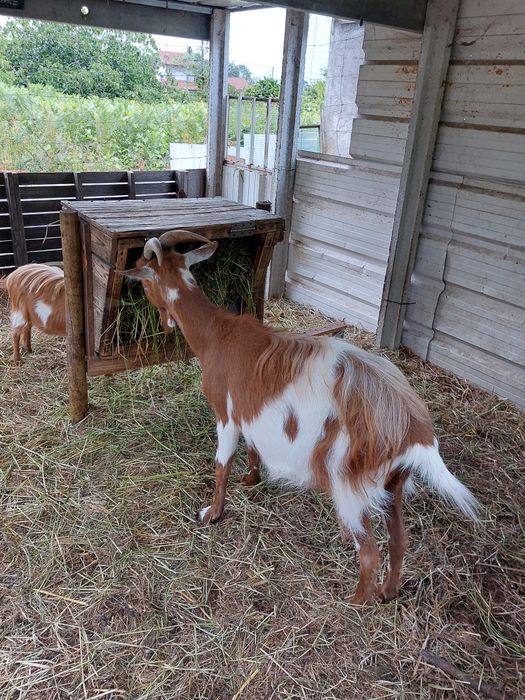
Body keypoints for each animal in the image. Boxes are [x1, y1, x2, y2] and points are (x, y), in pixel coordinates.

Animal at [124, 230, 479, 604]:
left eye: (143, 276)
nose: (160, 319)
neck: (218, 335)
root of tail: (414, 429)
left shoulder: (226, 414)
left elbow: (222, 463)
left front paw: (211, 513)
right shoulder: (251, 414)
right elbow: (252, 446)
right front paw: (252, 478)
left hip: (349, 482)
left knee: (370, 552)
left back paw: (354, 603)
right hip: (392, 483)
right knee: (399, 541)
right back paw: (387, 592)